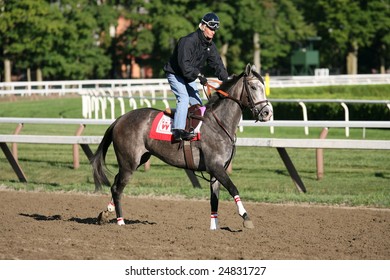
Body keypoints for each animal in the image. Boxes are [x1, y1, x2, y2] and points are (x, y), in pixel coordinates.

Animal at [92, 64, 272, 230]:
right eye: (253, 87)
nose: (267, 113)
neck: (219, 123)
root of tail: (120, 119)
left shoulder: (216, 171)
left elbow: (214, 199)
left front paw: (214, 227)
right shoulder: (216, 167)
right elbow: (233, 188)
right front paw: (246, 217)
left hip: (138, 160)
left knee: (116, 184)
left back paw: (106, 213)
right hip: (129, 163)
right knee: (117, 188)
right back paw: (120, 221)